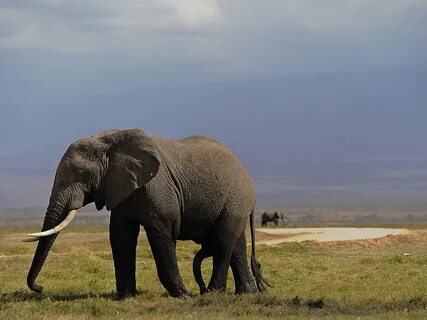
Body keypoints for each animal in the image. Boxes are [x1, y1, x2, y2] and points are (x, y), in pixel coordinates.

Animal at [23, 129, 268, 298]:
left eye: (81, 174)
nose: (40, 288)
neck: (110, 141)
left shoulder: (158, 188)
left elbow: (161, 235)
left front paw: (183, 296)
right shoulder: (119, 187)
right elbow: (120, 236)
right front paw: (125, 298)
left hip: (237, 197)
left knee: (224, 240)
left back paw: (213, 292)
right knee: (236, 243)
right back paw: (245, 293)